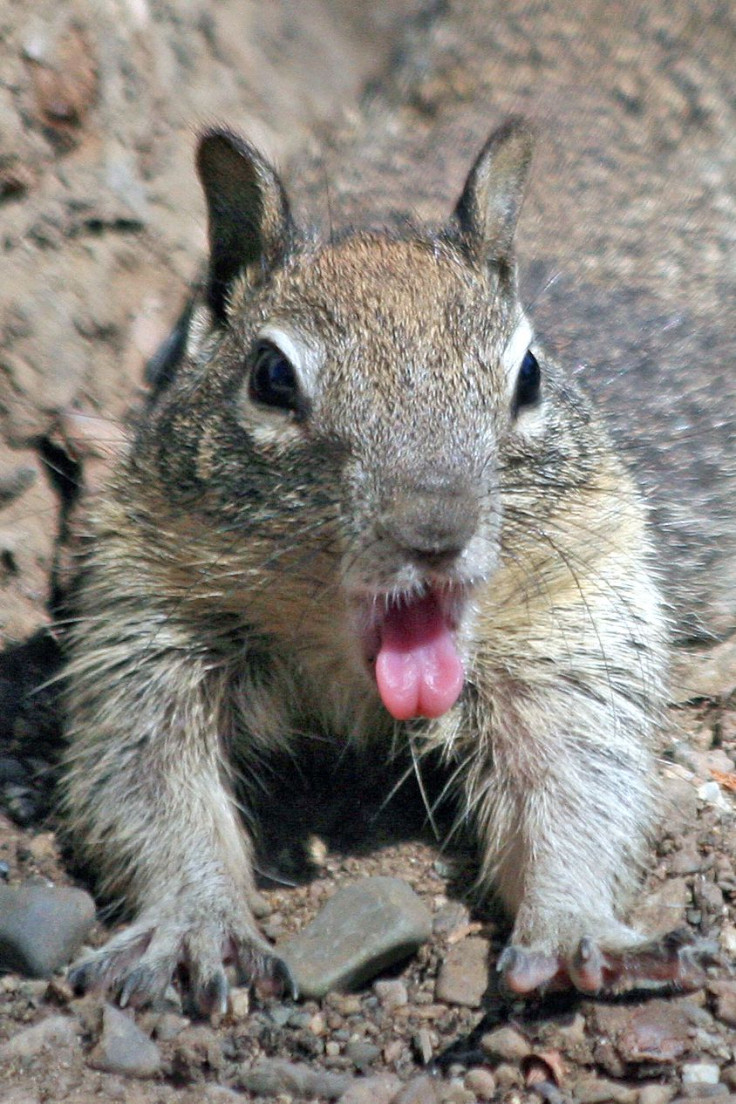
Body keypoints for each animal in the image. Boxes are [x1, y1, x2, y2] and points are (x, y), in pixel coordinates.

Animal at [60, 123, 701, 1015]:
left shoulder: (579, 621)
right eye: (270, 377)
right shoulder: (148, 616)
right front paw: (193, 922)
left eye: (529, 373)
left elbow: (580, 787)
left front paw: (575, 925)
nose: (433, 529)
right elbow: (151, 784)